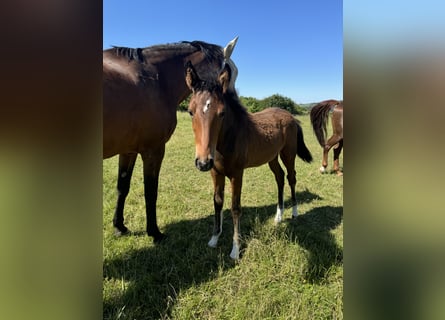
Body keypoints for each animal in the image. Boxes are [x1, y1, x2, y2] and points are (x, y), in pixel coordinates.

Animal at [103, 37, 239, 242]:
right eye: (232, 75)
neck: (154, 79)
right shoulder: (154, 150)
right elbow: (151, 192)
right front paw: (154, 232)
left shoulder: (128, 150)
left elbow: (122, 187)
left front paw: (119, 226)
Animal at [184, 62, 312, 260]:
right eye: (190, 111)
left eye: (222, 113)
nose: (203, 162)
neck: (227, 140)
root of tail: (291, 116)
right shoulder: (215, 173)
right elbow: (217, 202)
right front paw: (214, 239)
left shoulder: (237, 174)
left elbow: (235, 207)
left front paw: (235, 250)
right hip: (272, 157)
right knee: (280, 177)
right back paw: (278, 216)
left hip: (288, 154)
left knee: (291, 177)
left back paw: (294, 212)